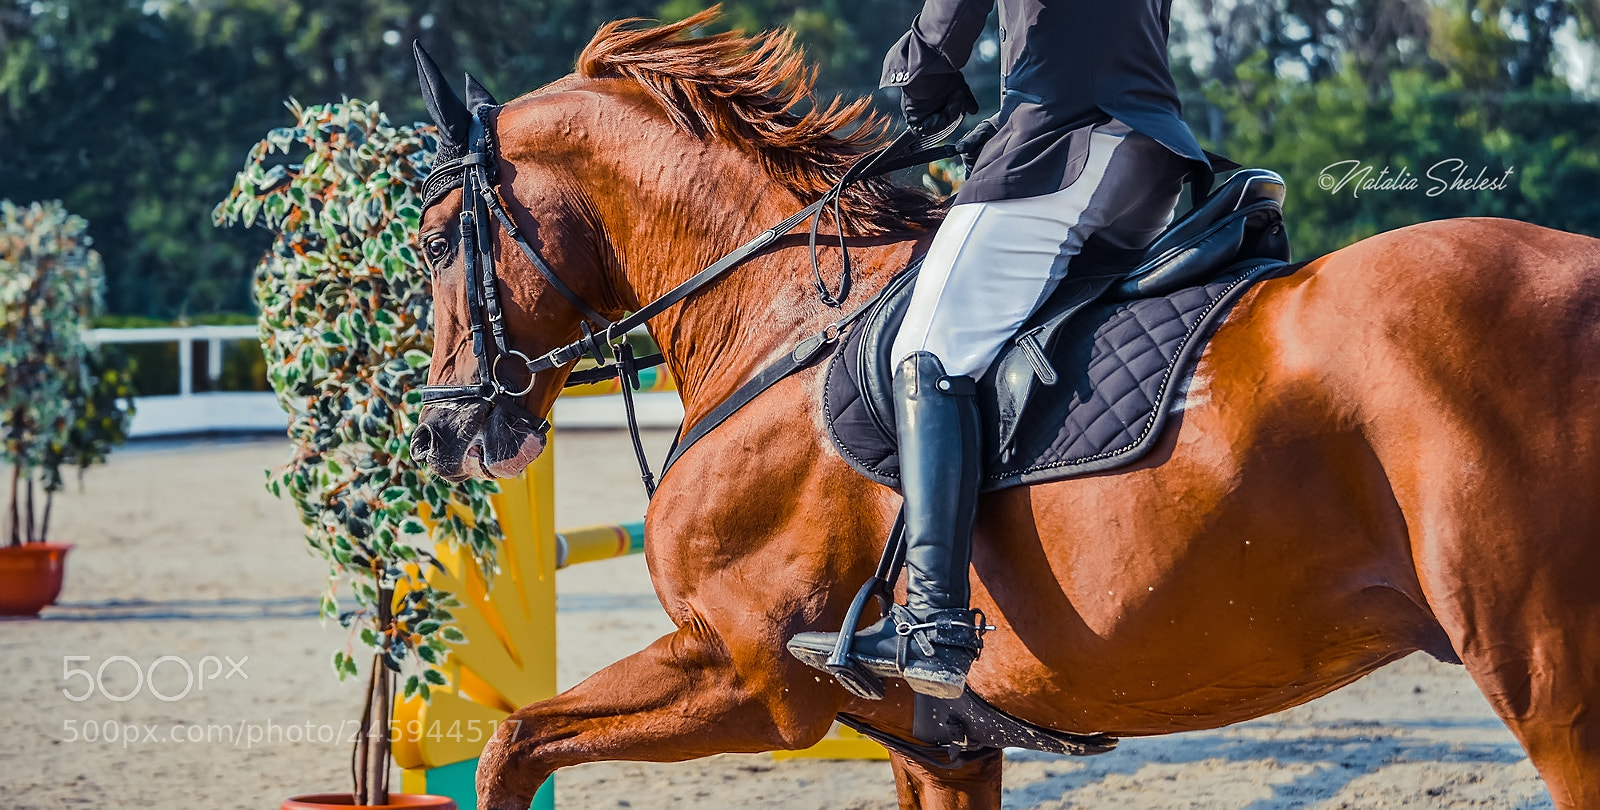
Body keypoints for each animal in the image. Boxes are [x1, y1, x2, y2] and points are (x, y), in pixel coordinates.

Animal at [407, 11, 1600, 809]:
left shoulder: (747, 673)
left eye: (428, 242)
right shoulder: (936, 740)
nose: (445, 429)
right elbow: (517, 741)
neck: (775, 314)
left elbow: (512, 745)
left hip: (1548, 683)